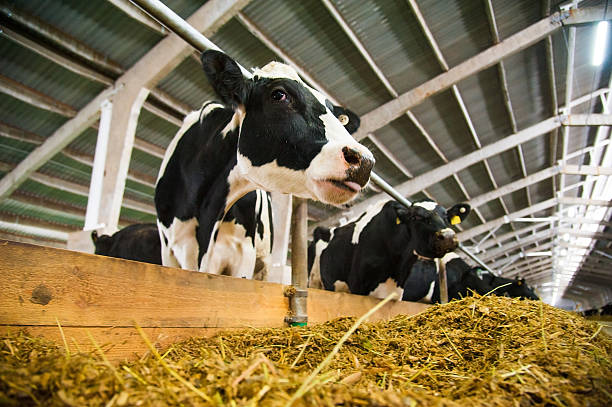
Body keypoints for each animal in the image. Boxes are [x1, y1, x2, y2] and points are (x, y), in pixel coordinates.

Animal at [308, 200, 470, 300]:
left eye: (446, 216)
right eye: (415, 216)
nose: (448, 236)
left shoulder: (397, 293)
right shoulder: (357, 286)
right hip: (314, 281)